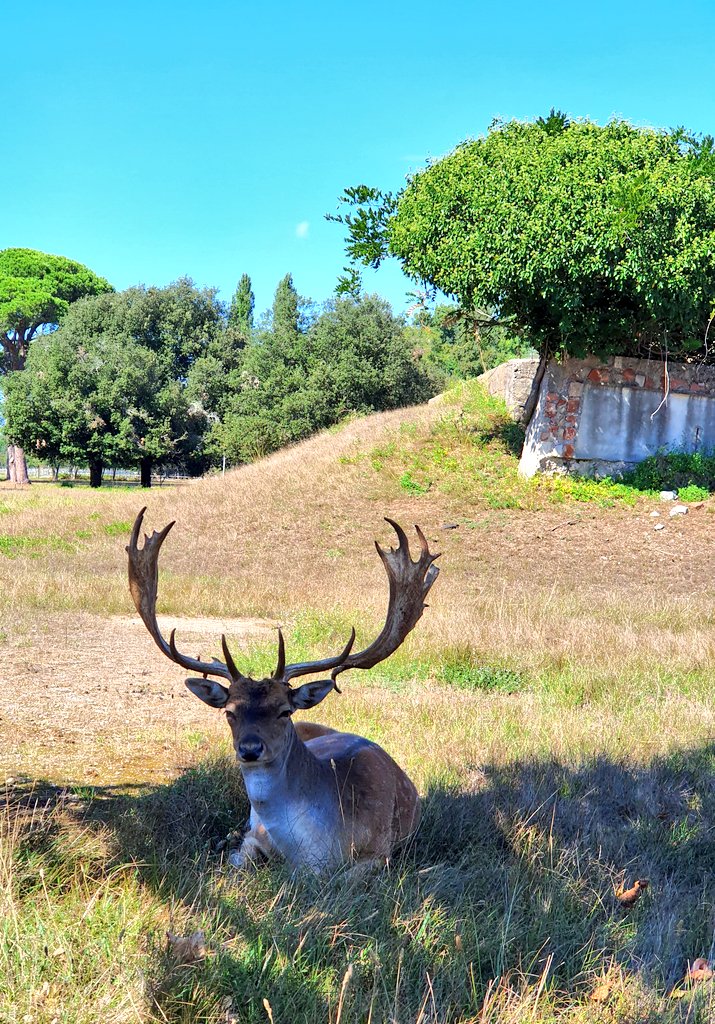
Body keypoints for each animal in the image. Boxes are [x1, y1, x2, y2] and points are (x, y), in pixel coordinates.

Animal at [126, 508, 439, 875]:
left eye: (284, 710)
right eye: (229, 712)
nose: (249, 749)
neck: (310, 850)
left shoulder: (379, 853)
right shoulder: (255, 837)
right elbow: (238, 862)